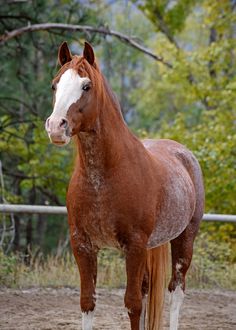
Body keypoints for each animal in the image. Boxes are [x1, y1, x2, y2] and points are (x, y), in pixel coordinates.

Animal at [45, 42, 204, 330]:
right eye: (55, 84)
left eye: (86, 86)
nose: (55, 127)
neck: (104, 178)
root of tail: (183, 154)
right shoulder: (83, 245)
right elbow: (88, 302)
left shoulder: (134, 246)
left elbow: (132, 304)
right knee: (148, 290)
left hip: (184, 239)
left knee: (176, 291)